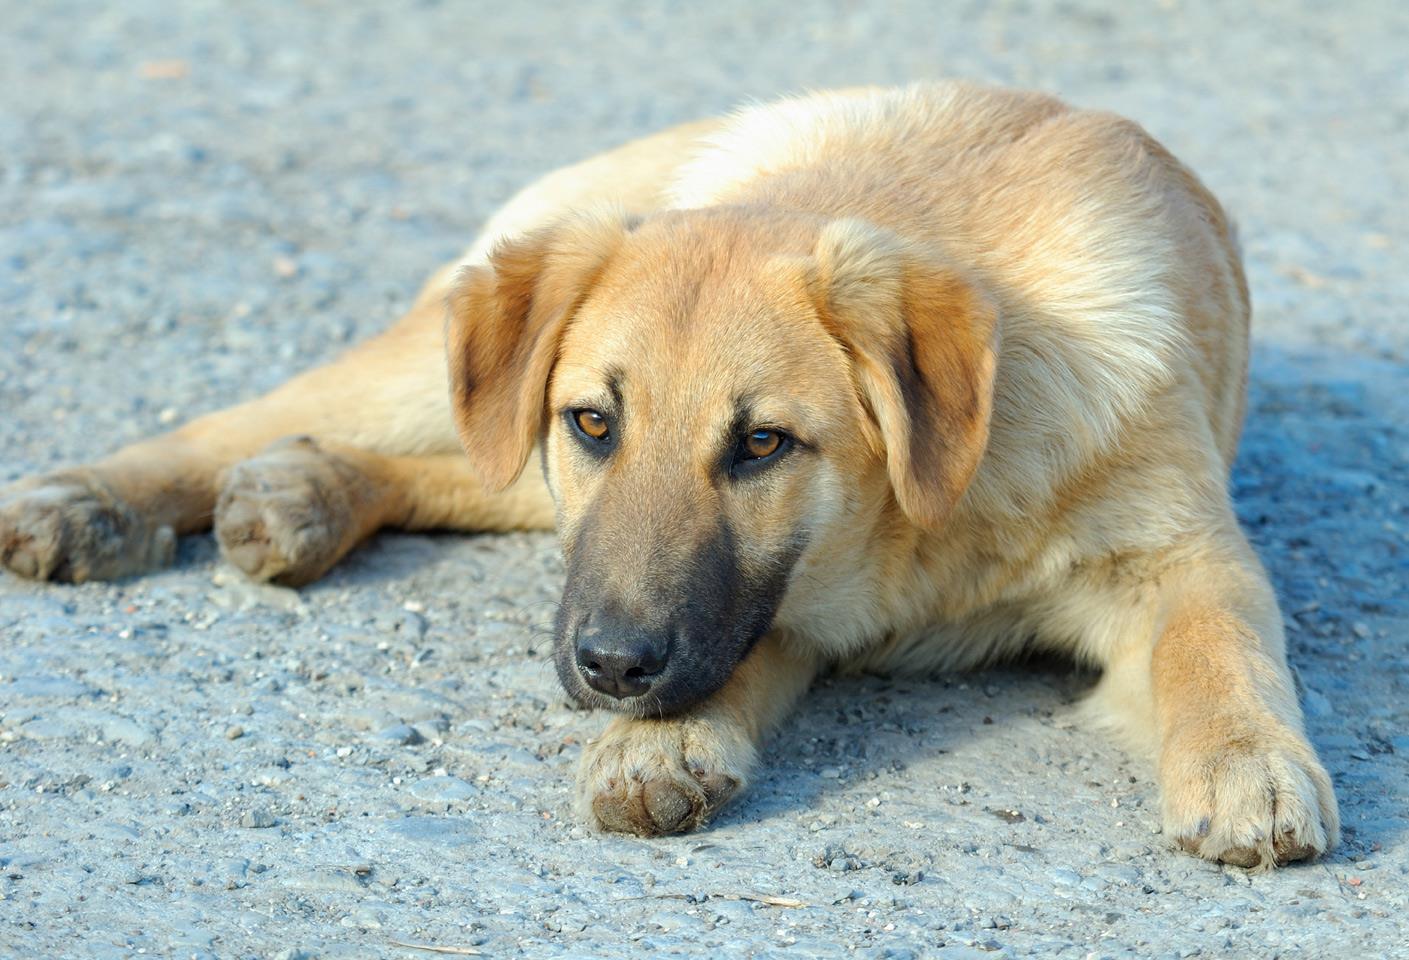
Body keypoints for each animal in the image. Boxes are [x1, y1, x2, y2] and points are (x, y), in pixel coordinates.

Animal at [0, 84, 1335, 868]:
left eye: (762, 445)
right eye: (596, 423)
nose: (606, 670)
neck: (924, 525)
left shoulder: (1178, 553)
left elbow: (1217, 644)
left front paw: (1246, 762)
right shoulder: (758, 595)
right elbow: (728, 645)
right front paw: (662, 745)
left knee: (472, 475)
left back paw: (307, 495)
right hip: (438, 358)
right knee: (260, 420)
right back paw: (98, 500)